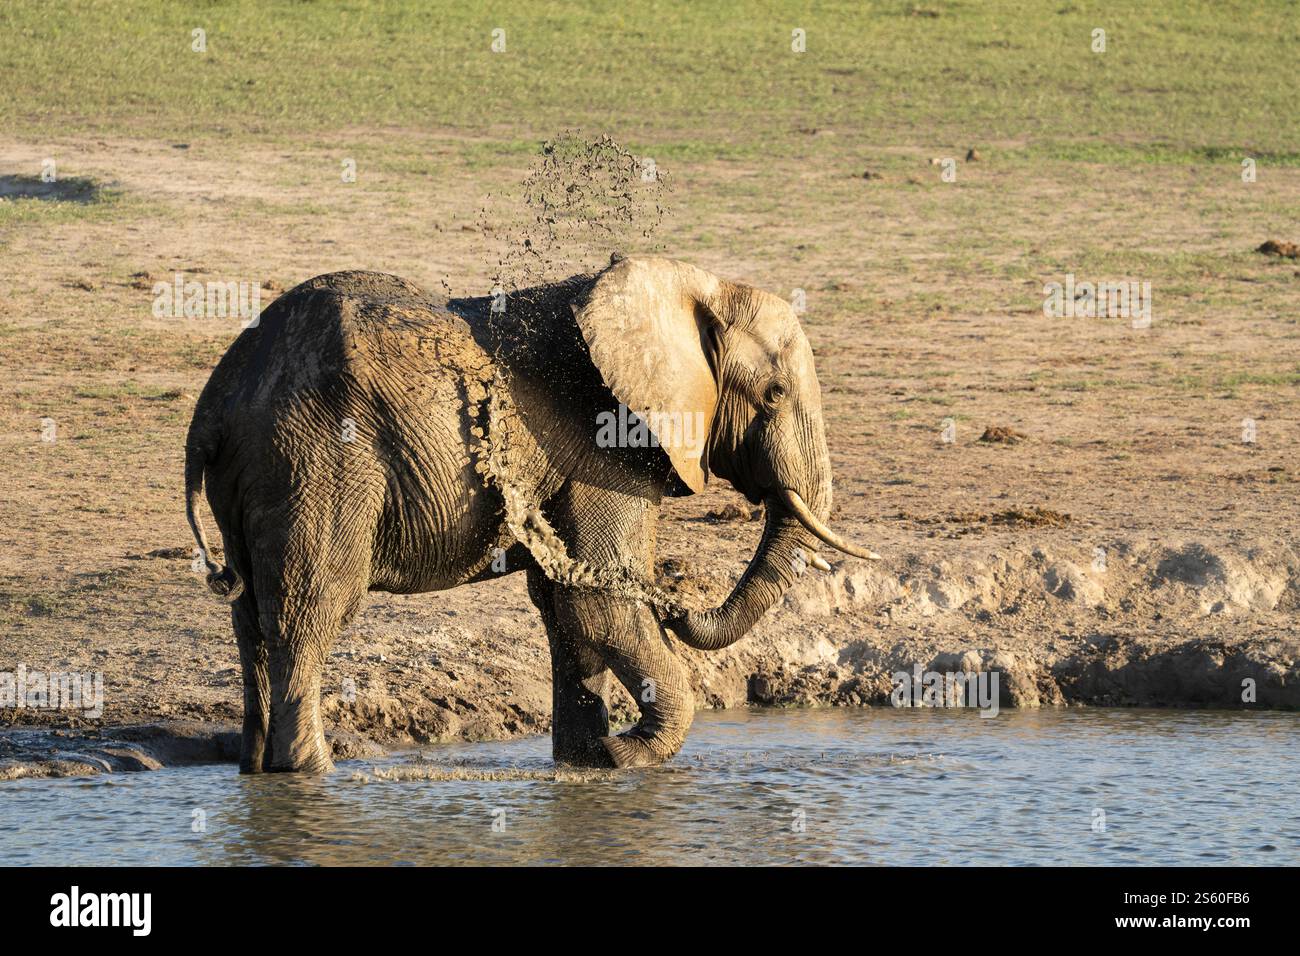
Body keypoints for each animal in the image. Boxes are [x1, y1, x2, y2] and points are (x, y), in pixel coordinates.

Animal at [184, 255, 877, 773]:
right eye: (775, 395)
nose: (674, 599)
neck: (691, 286)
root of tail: (215, 404)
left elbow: (565, 604)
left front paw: (588, 762)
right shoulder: (607, 444)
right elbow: (596, 598)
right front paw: (625, 756)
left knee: (252, 614)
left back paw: (257, 770)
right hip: (317, 459)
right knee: (313, 606)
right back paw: (311, 772)